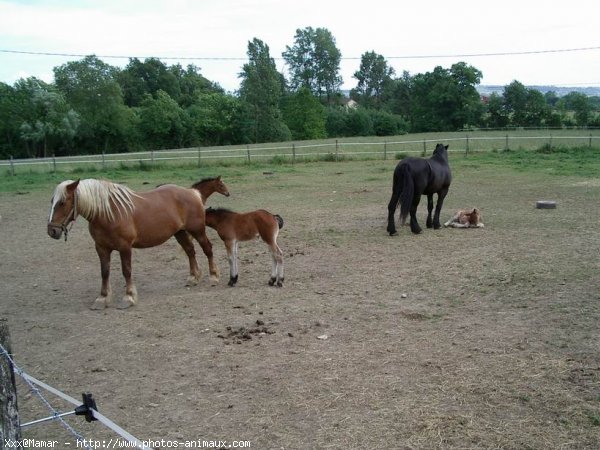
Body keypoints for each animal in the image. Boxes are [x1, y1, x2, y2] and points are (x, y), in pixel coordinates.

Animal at [47, 179, 219, 310]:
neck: (108, 213)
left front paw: (129, 297)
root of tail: (193, 192)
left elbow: (126, 271)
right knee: (190, 251)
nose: (52, 231)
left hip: (197, 231)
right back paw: (193, 277)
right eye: (51, 201)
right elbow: (104, 272)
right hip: (180, 233)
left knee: (208, 249)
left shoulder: (125, 247)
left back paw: (214, 276)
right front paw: (102, 298)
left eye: (62, 202)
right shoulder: (101, 248)